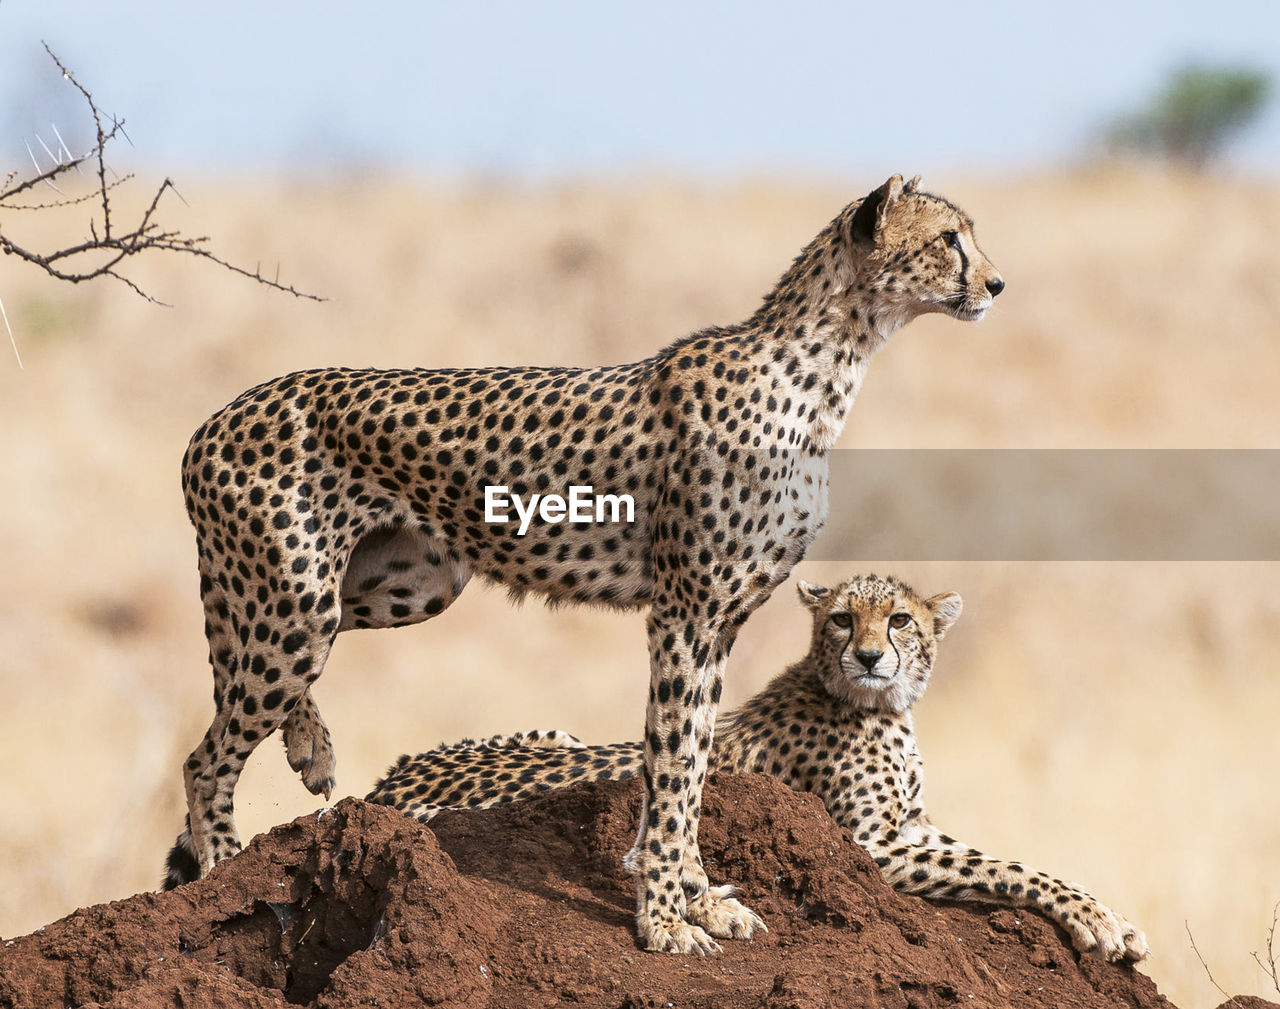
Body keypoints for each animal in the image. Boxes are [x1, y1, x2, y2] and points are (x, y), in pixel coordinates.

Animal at [165, 172, 1003, 952]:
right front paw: (664, 918)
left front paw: (698, 899)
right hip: (298, 601)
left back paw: (310, 747)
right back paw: (222, 874)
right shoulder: (685, 613)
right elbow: (672, 766)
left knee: (245, 683)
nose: (996, 283)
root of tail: (213, 418)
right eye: (949, 239)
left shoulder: (721, 622)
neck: (826, 364)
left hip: (403, 583)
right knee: (207, 755)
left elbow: (697, 764)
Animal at [368, 576, 1152, 962]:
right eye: (842, 619)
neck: (879, 705)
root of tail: (384, 786)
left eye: (899, 619)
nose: (870, 655)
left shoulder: (914, 828)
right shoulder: (871, 847)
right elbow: (1007, 868)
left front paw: (1111, 916)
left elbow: (1017, 859)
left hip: (556, 732)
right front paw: (1100, 925)